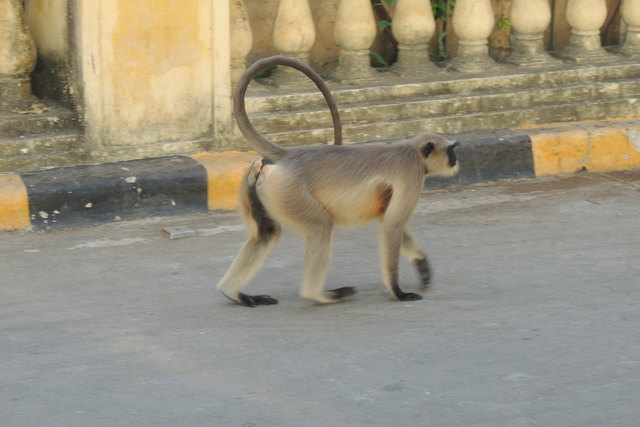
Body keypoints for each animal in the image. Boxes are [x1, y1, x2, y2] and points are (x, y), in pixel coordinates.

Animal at [218, 56, 458, 308]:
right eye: (450, 150)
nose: (455, 159)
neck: (411, 150)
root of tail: (288, 155)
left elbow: (390, 222)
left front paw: (422, 265)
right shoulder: (411, 173)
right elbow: (392, 226)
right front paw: (398, 291)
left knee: (265, 233)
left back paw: (236, 294)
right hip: (289, 192)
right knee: (320, 227)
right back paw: (319, 295)